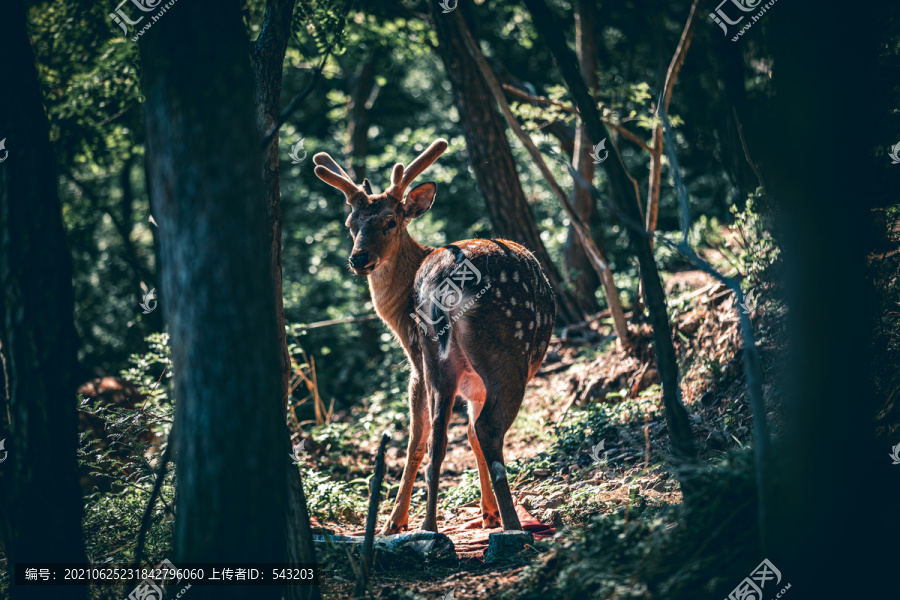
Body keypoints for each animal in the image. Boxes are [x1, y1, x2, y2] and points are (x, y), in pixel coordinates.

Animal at [314, 138, 556, 532]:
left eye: (390, 221)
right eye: (351, 223)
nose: (358, 259)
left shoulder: (434, 368)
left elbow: (453, 435)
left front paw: (484, 513)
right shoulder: (420, 366)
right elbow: (448, 434)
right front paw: (397, 522)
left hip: (441, 358)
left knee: (443, 437)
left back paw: (432, 526)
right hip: (503, 351)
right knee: (485, 428)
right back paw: (511, 526)